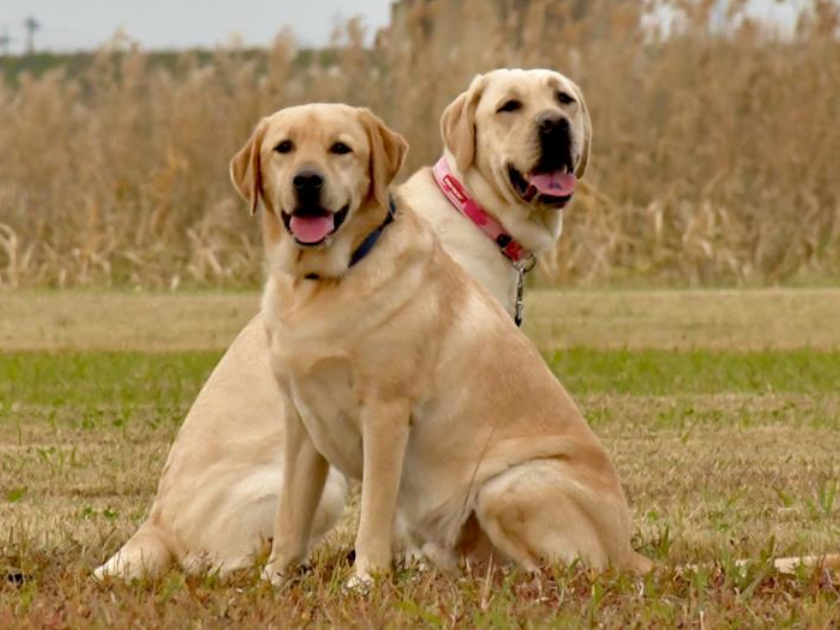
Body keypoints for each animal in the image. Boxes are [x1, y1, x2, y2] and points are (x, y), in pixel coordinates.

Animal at [95, 70, 592, 584]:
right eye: (509, 106)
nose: (554, 125)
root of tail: (155, 525)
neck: (469, 210)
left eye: (564, 99)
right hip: (322, 481)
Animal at [248, 103, 644, 588]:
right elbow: (291, 513)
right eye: (283, 148)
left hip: (506, 486)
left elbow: (374, 511)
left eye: (341, 148)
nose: (307, 180)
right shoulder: (302, 421)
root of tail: (627, 549)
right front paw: (275, 576)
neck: (324, 282)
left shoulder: (386, 414)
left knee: (562, 570)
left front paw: (366, 578)